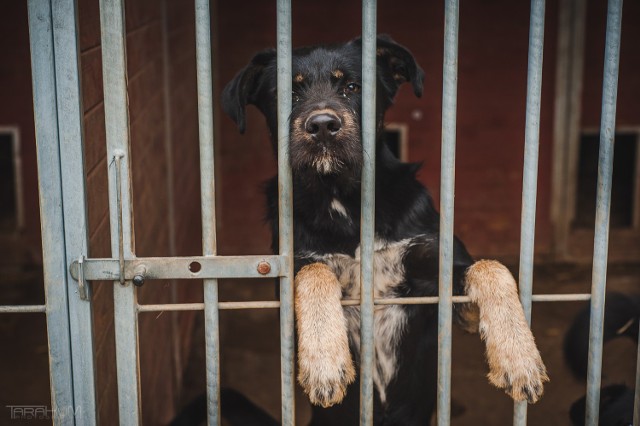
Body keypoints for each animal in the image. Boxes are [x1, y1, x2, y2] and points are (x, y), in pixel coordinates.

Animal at [220, 35, 544, 424]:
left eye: (352, 87)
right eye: (289, 93)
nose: (322, 125)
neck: (344, 202)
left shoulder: (441, 288)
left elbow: (491, 268)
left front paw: (520, 358)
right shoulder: (287, 280)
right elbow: (313, 272)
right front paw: (325, 363)